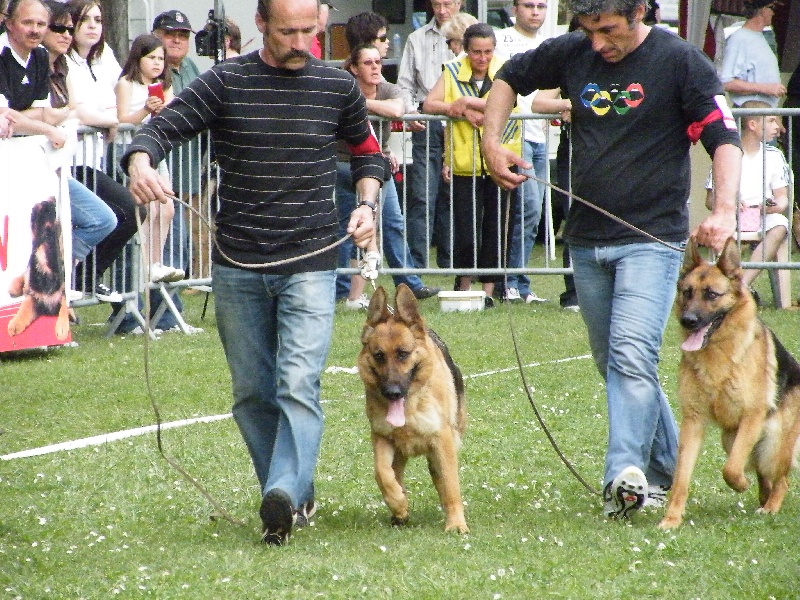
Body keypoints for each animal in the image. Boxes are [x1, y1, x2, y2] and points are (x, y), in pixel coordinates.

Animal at [7, 197, 69, 340]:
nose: (50, 199)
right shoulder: (34, 299)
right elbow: (23, 310)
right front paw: (15, 325)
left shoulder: (63, 296)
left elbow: (64, 308)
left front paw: (62, 328)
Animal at [358, 286, 468, 536]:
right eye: (379, 355)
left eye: (403, 354)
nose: (392, 393)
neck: (409, 407)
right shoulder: (381, 437)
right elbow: (381, 473)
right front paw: (398, 504)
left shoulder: (442, 442)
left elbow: (451, 486)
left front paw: (456, 524)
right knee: (395, 473)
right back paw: (399, 511)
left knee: (441, 481)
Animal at [660, 239, 800, 528]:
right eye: (687, 292)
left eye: (712, 294)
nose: (688, 320)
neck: (717, 354)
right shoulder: (693, 421)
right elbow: (681, 478)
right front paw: (672, 519)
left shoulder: (751, 416)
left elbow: (732, 468)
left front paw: (740, 484)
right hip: (729, 437)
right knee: (764, 475)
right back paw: (763, 499)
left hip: (773, 443)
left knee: (781, 479)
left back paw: (771, 506)